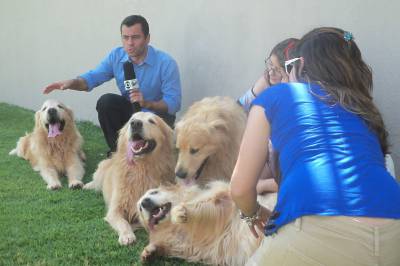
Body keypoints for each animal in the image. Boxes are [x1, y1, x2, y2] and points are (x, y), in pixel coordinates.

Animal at [83, 111, 176, 245]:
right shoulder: (115, 209)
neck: (141, 169)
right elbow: (123, 222)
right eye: (132, 119)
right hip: (102, 167)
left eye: (152, 121)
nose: (135, 123)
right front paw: (127, 235)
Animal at [137, 180, 276, 264]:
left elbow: (203, 203)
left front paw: (180, 211)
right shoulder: (189, 245)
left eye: (154, 192)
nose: (144, 202)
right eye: (140, 208)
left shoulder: (222, 200)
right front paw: (149, 252)